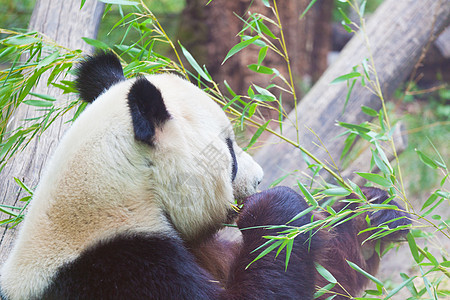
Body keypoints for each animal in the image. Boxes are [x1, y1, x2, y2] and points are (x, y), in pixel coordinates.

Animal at [0, 52, 412, 298]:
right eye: (229, 152)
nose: (259, 179)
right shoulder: (120, 271)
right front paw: (276, 209)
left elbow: (324, 274)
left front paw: (372, 213)